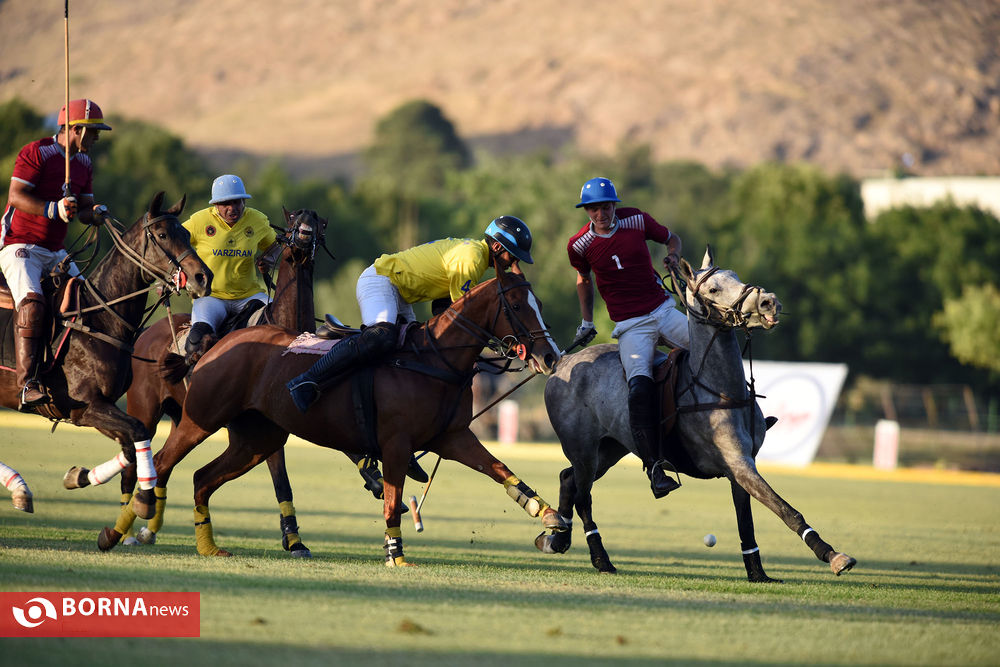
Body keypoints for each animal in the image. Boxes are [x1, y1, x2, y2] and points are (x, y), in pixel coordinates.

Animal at [0, 192, 211, 519]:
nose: (203, 277)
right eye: (163, 234)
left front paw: (78, 476)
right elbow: (138, 432)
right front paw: (145, 498)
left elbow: (131, 447)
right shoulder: (86, 406)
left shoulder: (99, 408)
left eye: (187, 234)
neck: (100, 318)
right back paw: (19, 487)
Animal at [88, 208, 328, 557]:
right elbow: (281, 479)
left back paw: (149, 527)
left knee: (163, 468)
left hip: (179, 414)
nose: (305, 235)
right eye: (294, 219)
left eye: (319, 222)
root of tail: (148, 331)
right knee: (136, 465)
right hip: (145, 409)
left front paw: (295, 540)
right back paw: (129, 530)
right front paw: (293, 538)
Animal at [103, 265, 566, 564]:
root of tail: (219, 342)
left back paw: (207, 547)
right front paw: (396, 555)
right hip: (200, 417)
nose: (550, 356)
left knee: (201, 477)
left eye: (541, 302)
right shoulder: (396, 443)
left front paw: (552, 520)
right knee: (161, 464)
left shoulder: (452, 437)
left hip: (257, 439)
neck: (435, 359)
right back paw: (119, 529)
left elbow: (500, 469)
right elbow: (393, 498)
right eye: (518, 306)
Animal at [538, 247, 856, 582]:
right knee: (583, 496)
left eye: (736, 276)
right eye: (713, 289)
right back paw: (601, 559)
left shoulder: (742, 466)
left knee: (568, 477)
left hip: (611, 448)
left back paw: (557, 538)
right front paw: (833, 556)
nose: (769, 301)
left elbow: (746, 522)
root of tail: (562, 362)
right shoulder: (738, 463)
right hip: (583, 448)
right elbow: (785, 509)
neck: (722, 390)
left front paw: (757, 572)